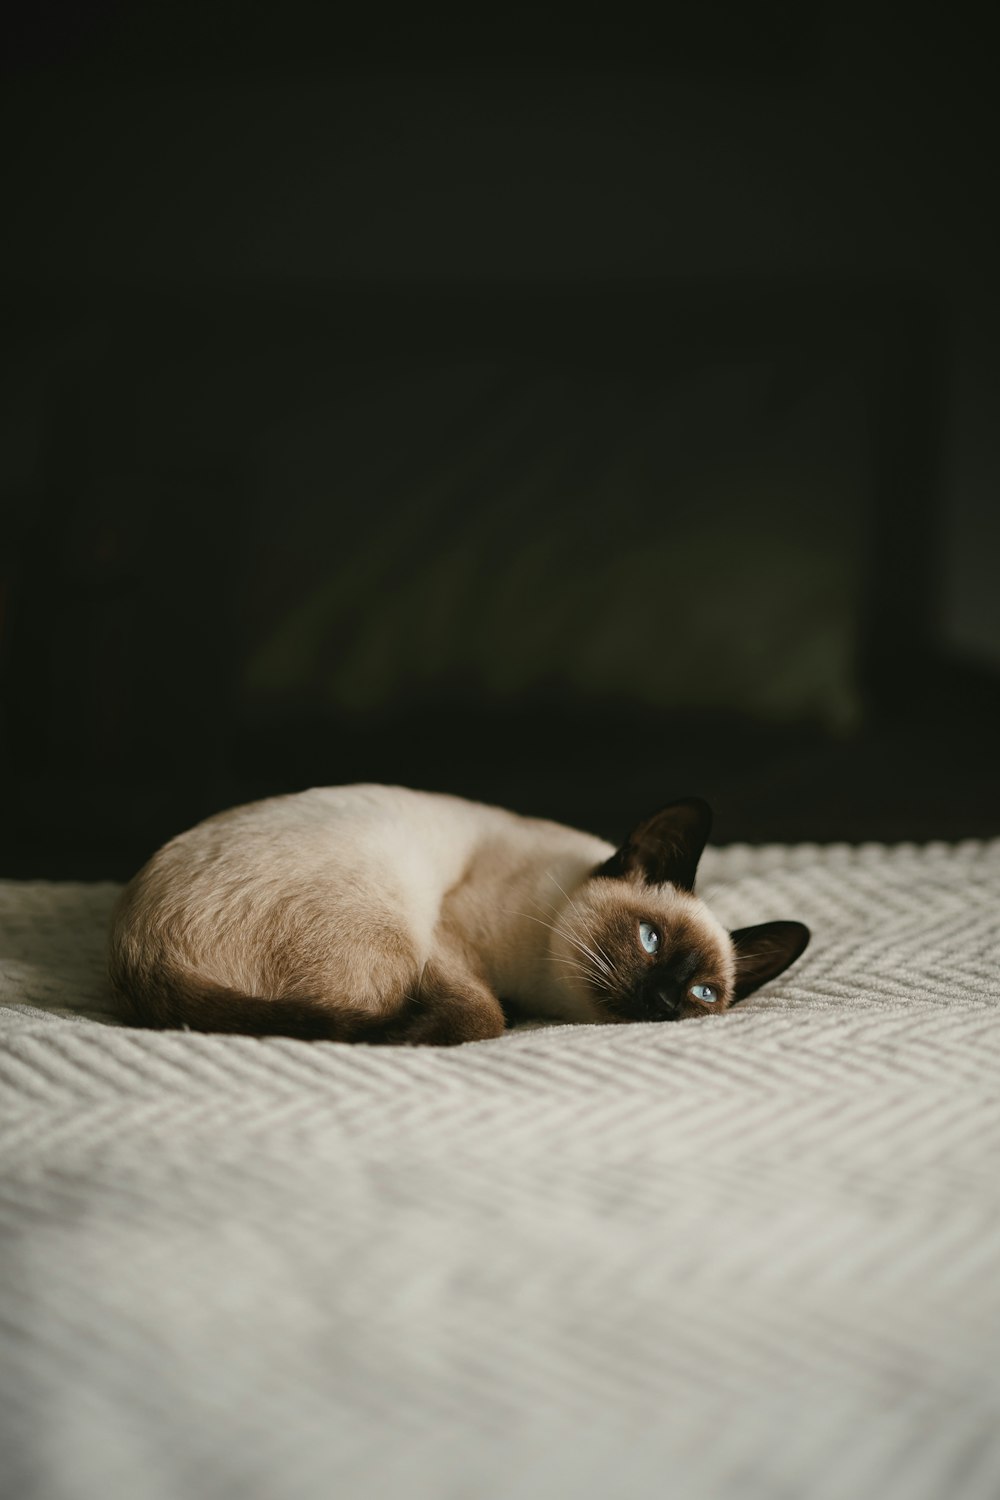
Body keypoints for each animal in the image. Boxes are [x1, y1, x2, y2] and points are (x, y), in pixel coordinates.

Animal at [111, 786, 815, 1044]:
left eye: (704, 994)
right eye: (649, 938)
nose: (665, 1001)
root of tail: (138, 948)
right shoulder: (447, 942)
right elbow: (485, 1016)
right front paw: (430, 1030)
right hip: (389, 926)